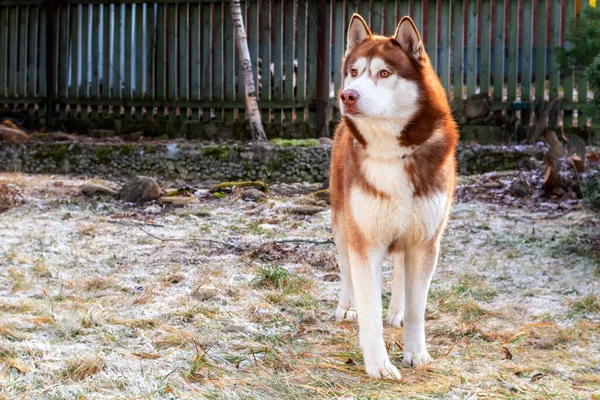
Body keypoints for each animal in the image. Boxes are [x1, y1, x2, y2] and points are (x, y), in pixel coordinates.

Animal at [330, 14, 458, 380]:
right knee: (346, 269)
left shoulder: (425, 242)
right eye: (354, 71)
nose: (347, 95)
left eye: (384, 73)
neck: (391, 153)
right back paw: (347, 306)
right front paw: (378, 365)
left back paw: (397, 311)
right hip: (342, 224)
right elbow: (370, 309)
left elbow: (418, 308)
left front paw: (416, 353)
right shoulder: (365, 242)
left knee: (401, 271)